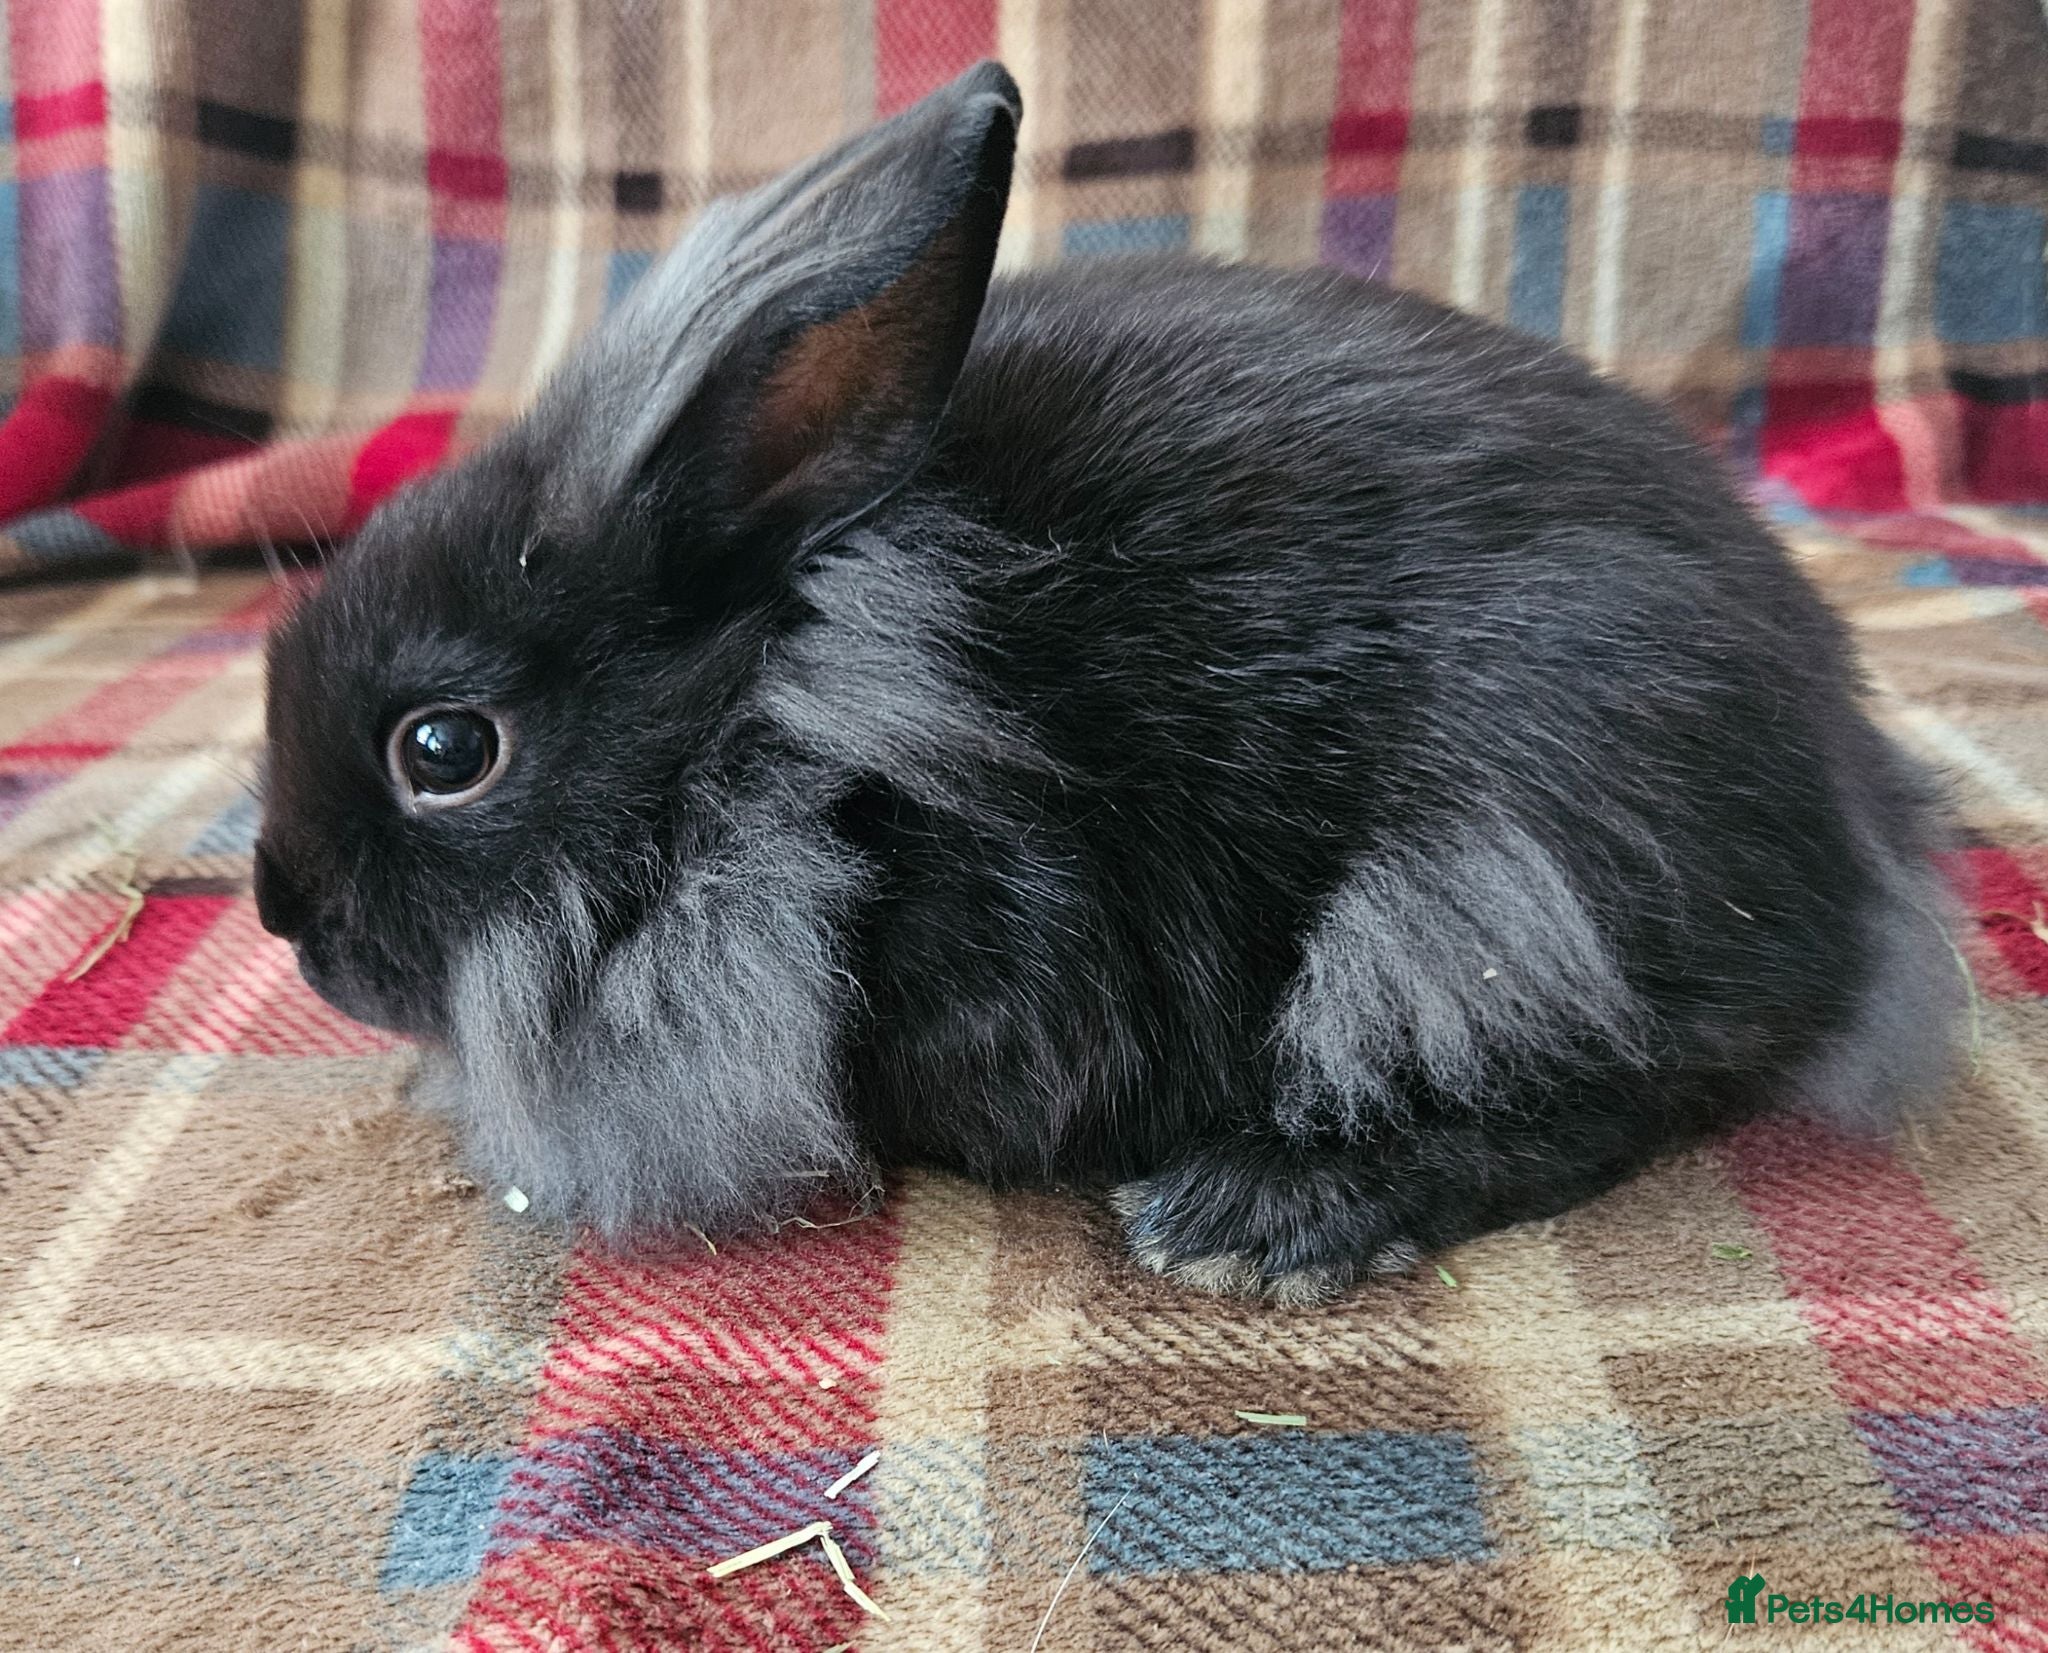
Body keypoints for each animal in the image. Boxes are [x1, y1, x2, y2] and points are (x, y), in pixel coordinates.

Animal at [256, 61, 1962, 1303]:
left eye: (446, 748)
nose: (288, 920)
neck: (813, 744)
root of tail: (1848, 805)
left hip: (1510, 870)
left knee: (1616, 1086)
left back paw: (1257, 1219)